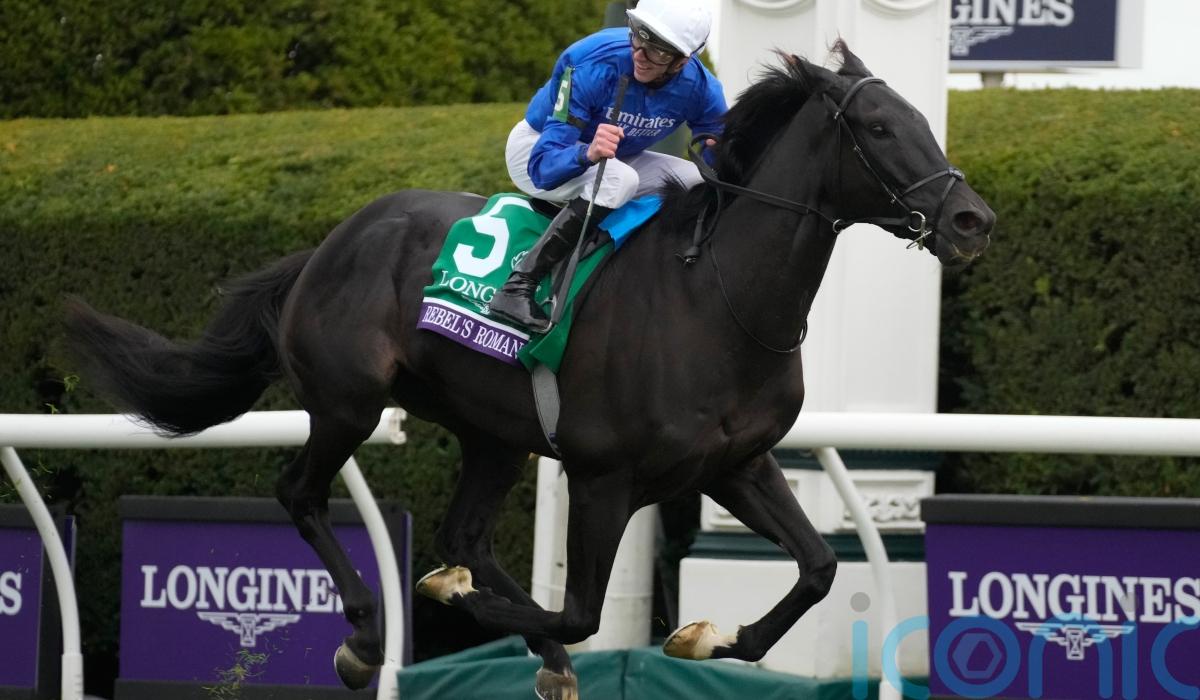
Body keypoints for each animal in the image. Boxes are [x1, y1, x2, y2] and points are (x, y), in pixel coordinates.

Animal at [66, 41, 994, 699]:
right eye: (880, 129)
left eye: (925, 118)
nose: (972, 219)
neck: (717, 299)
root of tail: (329, 244)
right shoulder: (603, 476)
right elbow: (582, 609)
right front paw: (450, 606)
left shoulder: (736, 464)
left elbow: (819, 568)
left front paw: (709, 638)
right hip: (348, 403)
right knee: (302, 494)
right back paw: (368, 636)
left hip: (492, 432)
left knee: (465, 534)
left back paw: (522, 642)